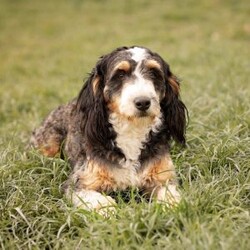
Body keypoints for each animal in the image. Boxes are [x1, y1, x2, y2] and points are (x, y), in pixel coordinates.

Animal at [30, 46, 188, 216]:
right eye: (120, 74)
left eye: (154, 72)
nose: (143, 102)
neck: (132, 130)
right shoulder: (79, 183)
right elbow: (102, 203)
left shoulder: (163, 178)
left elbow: (170, 196)